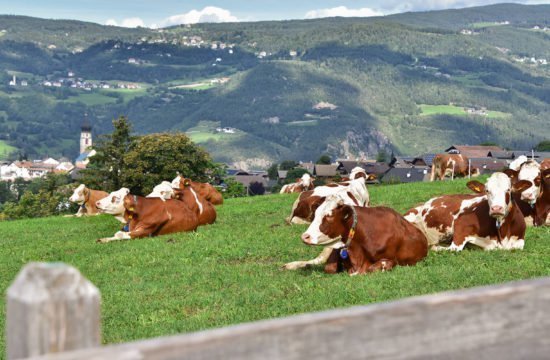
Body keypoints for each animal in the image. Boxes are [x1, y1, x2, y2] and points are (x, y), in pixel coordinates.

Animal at [298, 194, 432, 276]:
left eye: (330, 216)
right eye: (315, 214)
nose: (305, 236)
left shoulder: (391, 260)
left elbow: (373, 268)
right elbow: (329, 268)